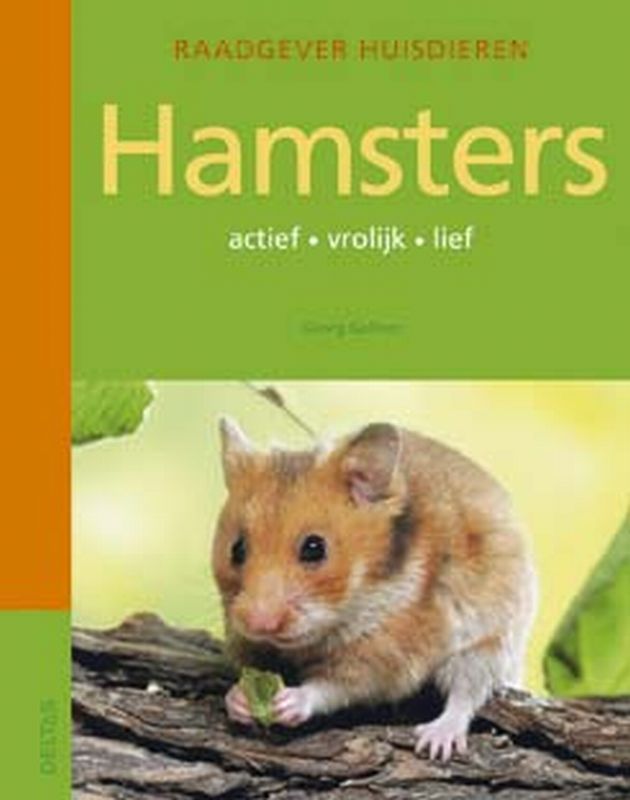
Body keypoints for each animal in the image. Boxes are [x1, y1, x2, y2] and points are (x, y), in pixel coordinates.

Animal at [212, 418, 537, 761]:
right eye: (237, 549)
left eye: (314, 548)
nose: (258, 624)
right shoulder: (246, 641)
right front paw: (239, 700)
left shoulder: (386, 654)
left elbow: (335, 687)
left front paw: (288, 703)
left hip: (490, 641)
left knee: (468, 692)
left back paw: (435, 741)